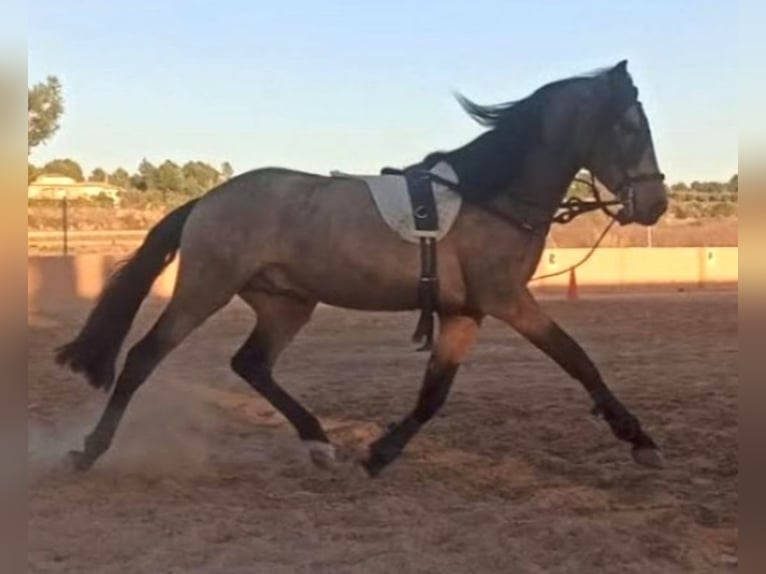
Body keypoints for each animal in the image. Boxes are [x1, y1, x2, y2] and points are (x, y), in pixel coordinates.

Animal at [56, 60, 668, 477]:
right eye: (632, 127)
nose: (655, 204)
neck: (488, 196)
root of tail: (207, 200)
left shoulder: (466, 312)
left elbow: (433, 393)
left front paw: (380, 453)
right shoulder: (508, 300)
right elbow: (577, 358)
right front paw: (638, 438)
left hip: (287, 303)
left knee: (251, 364)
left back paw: (318, 440)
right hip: (205, 289)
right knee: (143, 358)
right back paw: (89, 450)